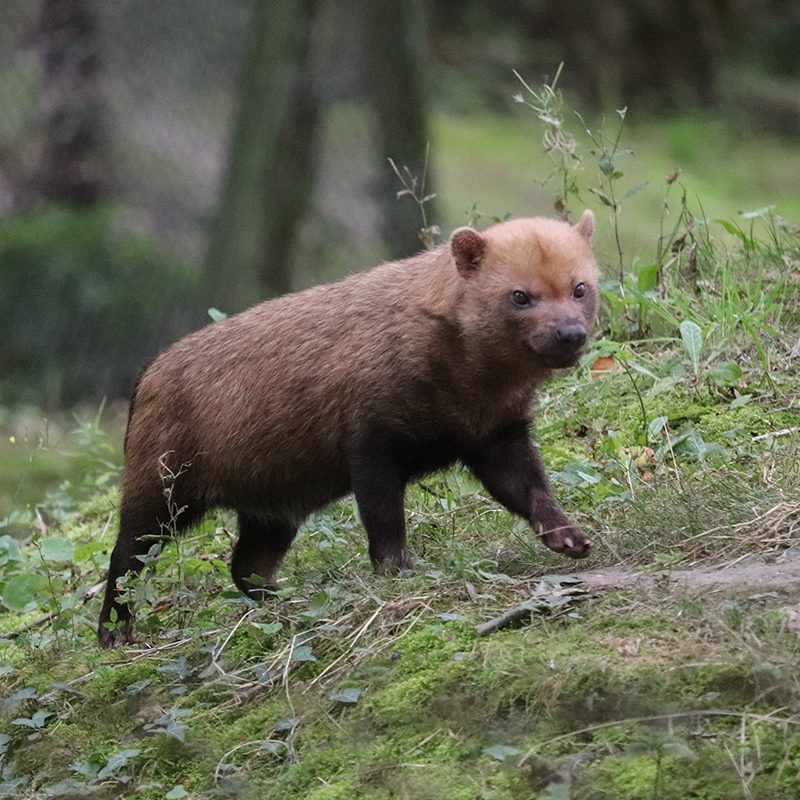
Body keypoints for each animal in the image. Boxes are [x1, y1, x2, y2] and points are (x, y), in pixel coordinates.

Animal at [97, 211, 596, 644]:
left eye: (580, 287)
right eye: (519, 295)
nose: (571, 335)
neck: (464, 383)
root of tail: (146, 376)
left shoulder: (497, 437)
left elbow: (532, 491)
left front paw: (571, 538)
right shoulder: (372, 444)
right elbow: (383, 519)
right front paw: (398, 573)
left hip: (271, 509)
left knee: (246, 566)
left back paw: (285, 600)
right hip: (160, 493)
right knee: (124, 559)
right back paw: (114, 632)